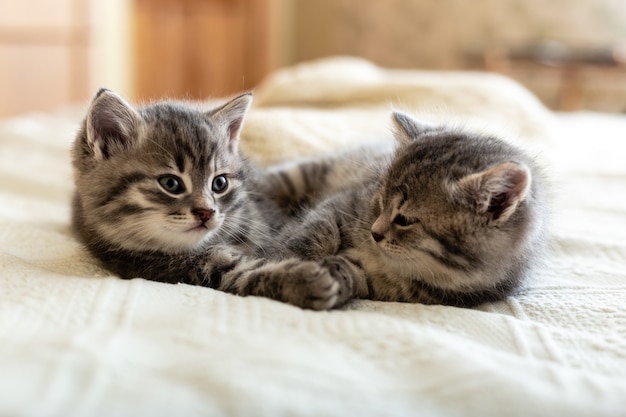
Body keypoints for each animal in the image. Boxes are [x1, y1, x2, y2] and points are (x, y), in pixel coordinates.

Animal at [260, 112, 548, 308]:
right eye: (380, 202)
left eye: (405, 219)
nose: (375, 233)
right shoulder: (344, 203)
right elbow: (316, 232)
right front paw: (283, 259)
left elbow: (354, 273)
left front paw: (331, 280)